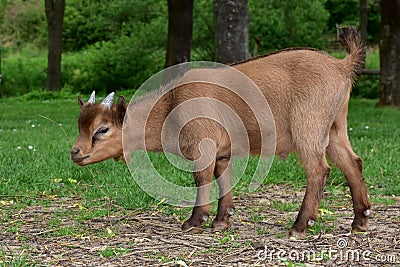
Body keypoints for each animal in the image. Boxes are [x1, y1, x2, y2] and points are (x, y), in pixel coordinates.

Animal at [71, 27, 372, 238]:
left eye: (102, 129)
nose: (75, 153)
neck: (170, 104)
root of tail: (340, 65)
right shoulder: (222, 150)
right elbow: (222, 177)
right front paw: (221, 220)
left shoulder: (202, 144)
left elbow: (201, 178)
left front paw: (194, 221)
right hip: (334, 127)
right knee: (352, 162)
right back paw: (360, 221)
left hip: (308, 126)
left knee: (319, 169)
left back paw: (300, 226)